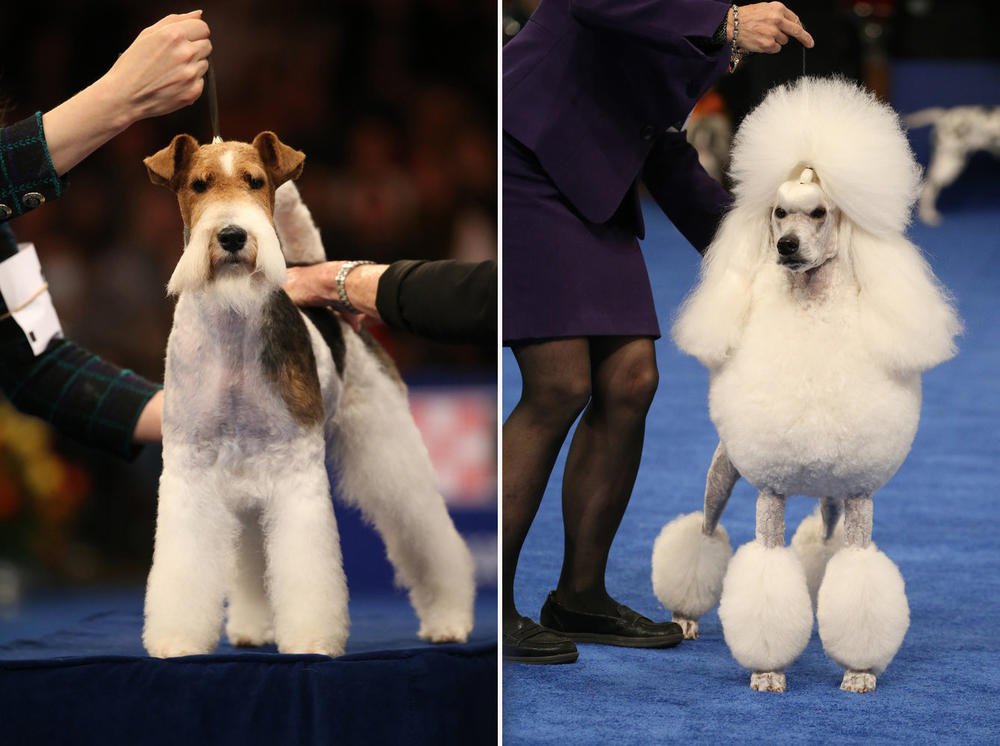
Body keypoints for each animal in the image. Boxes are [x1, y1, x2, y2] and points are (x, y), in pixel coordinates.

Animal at [140, 134, 476, 656]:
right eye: (198, 185)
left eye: (255, 181)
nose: (233, 235)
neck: (233, 328)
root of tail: (308, 266)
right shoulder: (190, 466)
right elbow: (186, 566)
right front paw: (177, 640)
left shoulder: (295, 466)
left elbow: (306, 568)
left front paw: (312, 640)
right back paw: (253, 627)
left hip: (386, 446)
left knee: (427, 535)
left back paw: (448, 620)